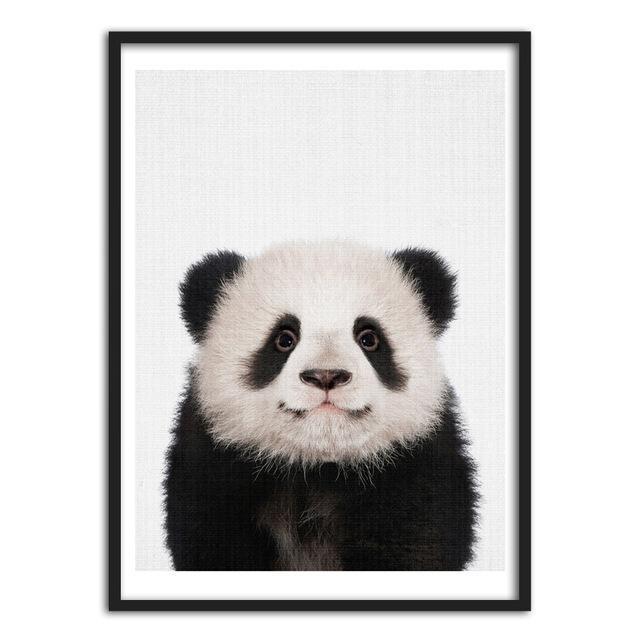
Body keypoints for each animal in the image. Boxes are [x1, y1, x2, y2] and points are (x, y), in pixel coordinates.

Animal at [164, 240, 478, 571]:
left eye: (369, 338)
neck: (317, 467)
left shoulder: (414, 471)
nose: (326, 375)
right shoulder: (214, 471)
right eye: (284, 339)